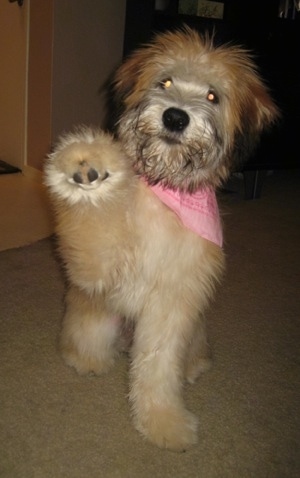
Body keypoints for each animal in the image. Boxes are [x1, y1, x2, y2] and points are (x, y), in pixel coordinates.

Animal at [45, 28, 278, 450]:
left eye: (213, 96)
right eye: (165, 82)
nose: (175, 116)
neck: (165, 192)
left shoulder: (174, 299)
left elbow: (158, 364)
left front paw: (163, 421)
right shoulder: (100, 267)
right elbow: (93, 231)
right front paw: (85, 163)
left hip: (196, 326)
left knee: (188, 355)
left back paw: (192, 366)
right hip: (96, 315)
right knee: (87, 337)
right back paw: (86, 358)